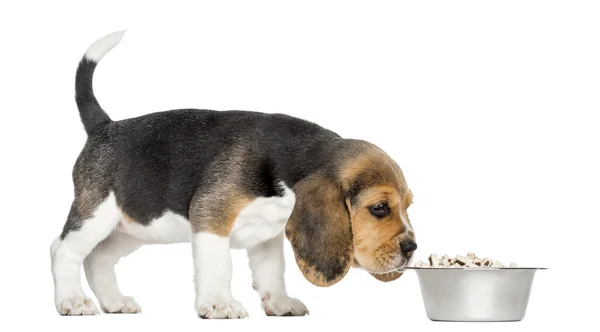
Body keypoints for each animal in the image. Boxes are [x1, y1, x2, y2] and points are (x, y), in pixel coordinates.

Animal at [49, 31, 418, 320]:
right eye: (379, 208)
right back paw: (73, 300)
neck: (286, 164)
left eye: (408, 205)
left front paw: (279, 303)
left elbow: (272, 270)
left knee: (97, 258)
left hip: (133, 227)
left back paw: (113, 302)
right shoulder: (211, 217)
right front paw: (218, 304)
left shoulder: (269, 235)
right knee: (62, 249)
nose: (412, 248)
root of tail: (104, 127)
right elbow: (220, 266)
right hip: (96, 216)